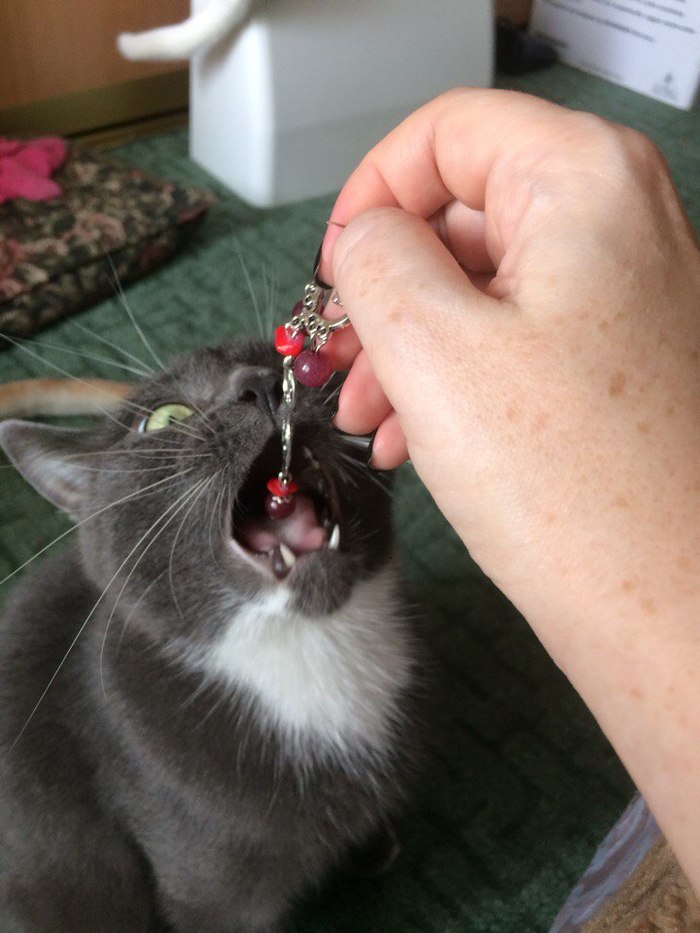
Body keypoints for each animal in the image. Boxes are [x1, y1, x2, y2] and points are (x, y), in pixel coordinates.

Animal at [0, 340, 422, 932]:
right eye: (163, 420)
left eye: (270, 352)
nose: (261, 383)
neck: (305, 645)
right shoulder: (205, 891)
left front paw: (371, 844)